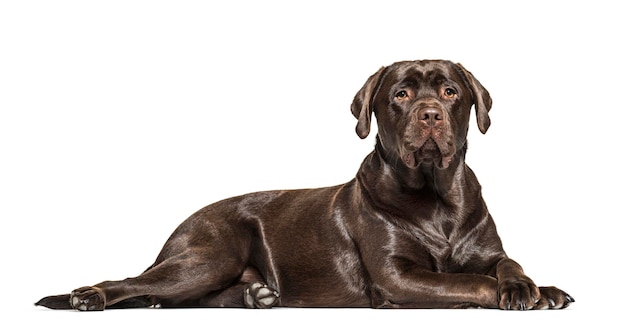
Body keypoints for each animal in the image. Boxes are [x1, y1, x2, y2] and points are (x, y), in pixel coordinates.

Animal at [36, 59, 572, 308]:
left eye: (450, 91)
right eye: (400, 94)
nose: (430, 114)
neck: (436, 197)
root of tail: (184, 223)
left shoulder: (489, 250)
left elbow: (506, 264)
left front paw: (535, 286)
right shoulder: (397, 275)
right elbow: (467, 281)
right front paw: (510, 295)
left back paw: (256, 297)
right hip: (209, 256)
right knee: (134, 283)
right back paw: (89, 296)